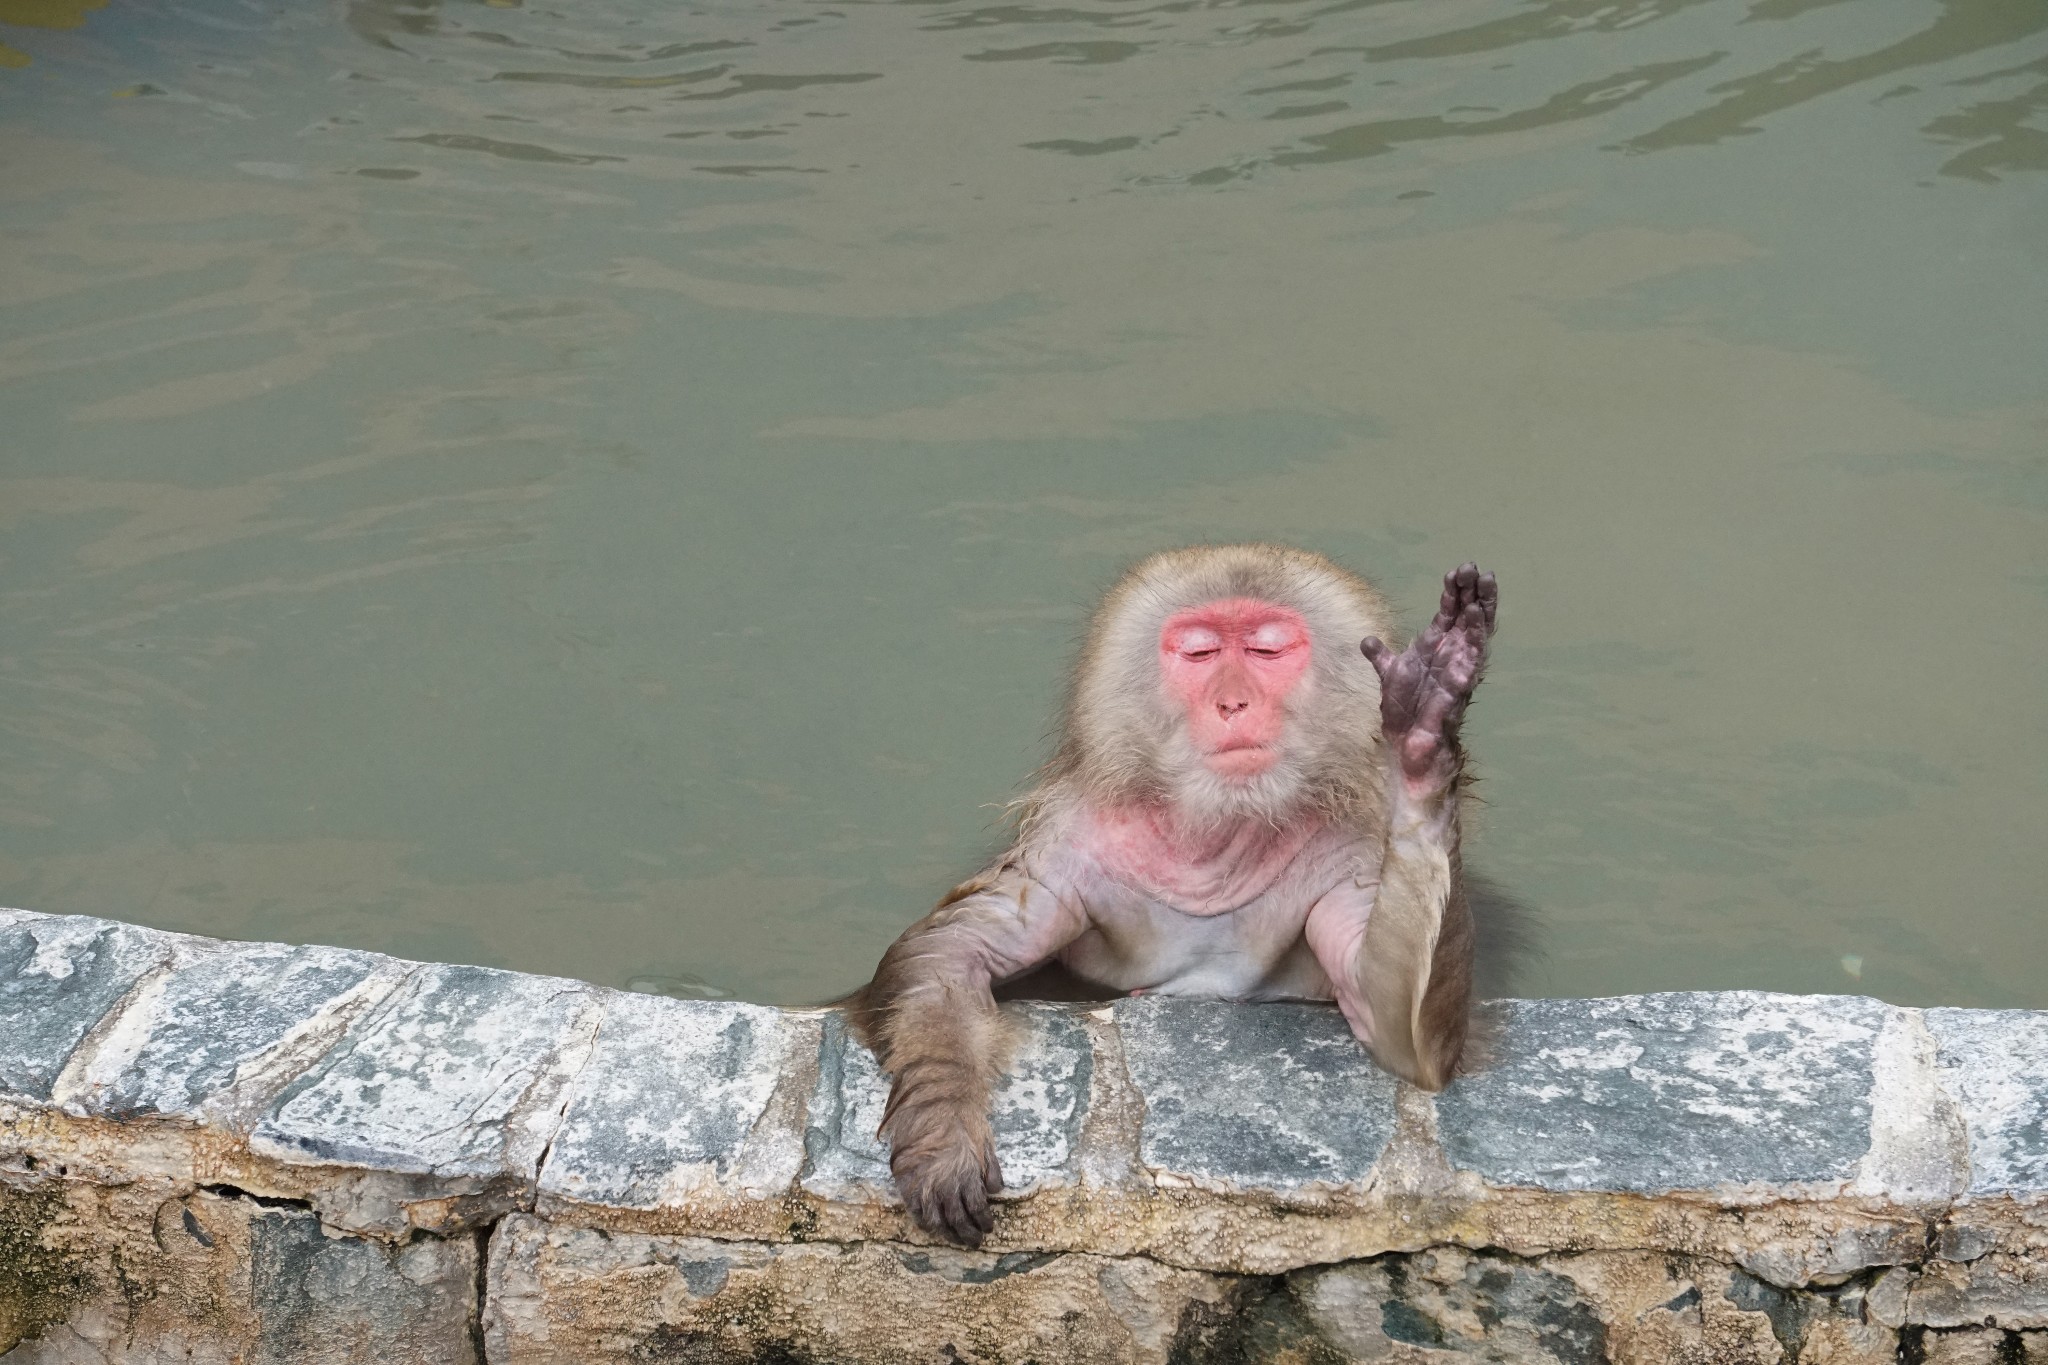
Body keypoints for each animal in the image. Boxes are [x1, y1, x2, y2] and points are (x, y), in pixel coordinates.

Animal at [839, 548, 1499, 1252]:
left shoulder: (1353, 853)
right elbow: (950, 953)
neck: (1220, 838)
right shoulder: (1070, 844)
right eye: (1200, 653)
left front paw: (1423, 745)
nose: (1233, 702)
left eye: (1267, 650)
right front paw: (942, 1131)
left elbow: (1400, 1034)